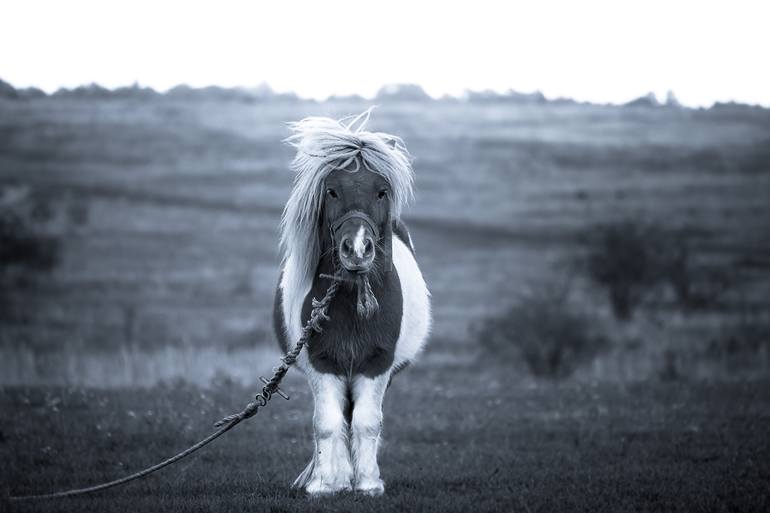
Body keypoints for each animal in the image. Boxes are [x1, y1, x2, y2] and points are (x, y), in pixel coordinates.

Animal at [272, 109, 428, 496]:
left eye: (381, 191)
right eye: (331, 191)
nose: (357, 250)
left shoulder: (377, 365)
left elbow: (368, 422)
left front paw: (368, 483)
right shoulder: (321, 362)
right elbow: (327, 423)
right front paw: (325, 484)